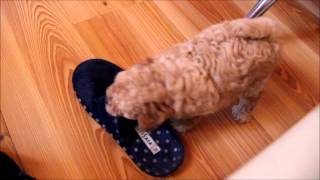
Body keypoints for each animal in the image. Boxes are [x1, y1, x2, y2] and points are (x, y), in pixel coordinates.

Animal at [106, 16, 278, 132]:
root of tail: (268, 34)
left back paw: (242, 112)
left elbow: (192, 119)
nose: (106, 107)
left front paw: (182, 126)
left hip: (255, 81)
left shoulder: (199, 107)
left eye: (123, 113)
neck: (161, 79)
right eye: (110, 96)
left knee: (252, 98)